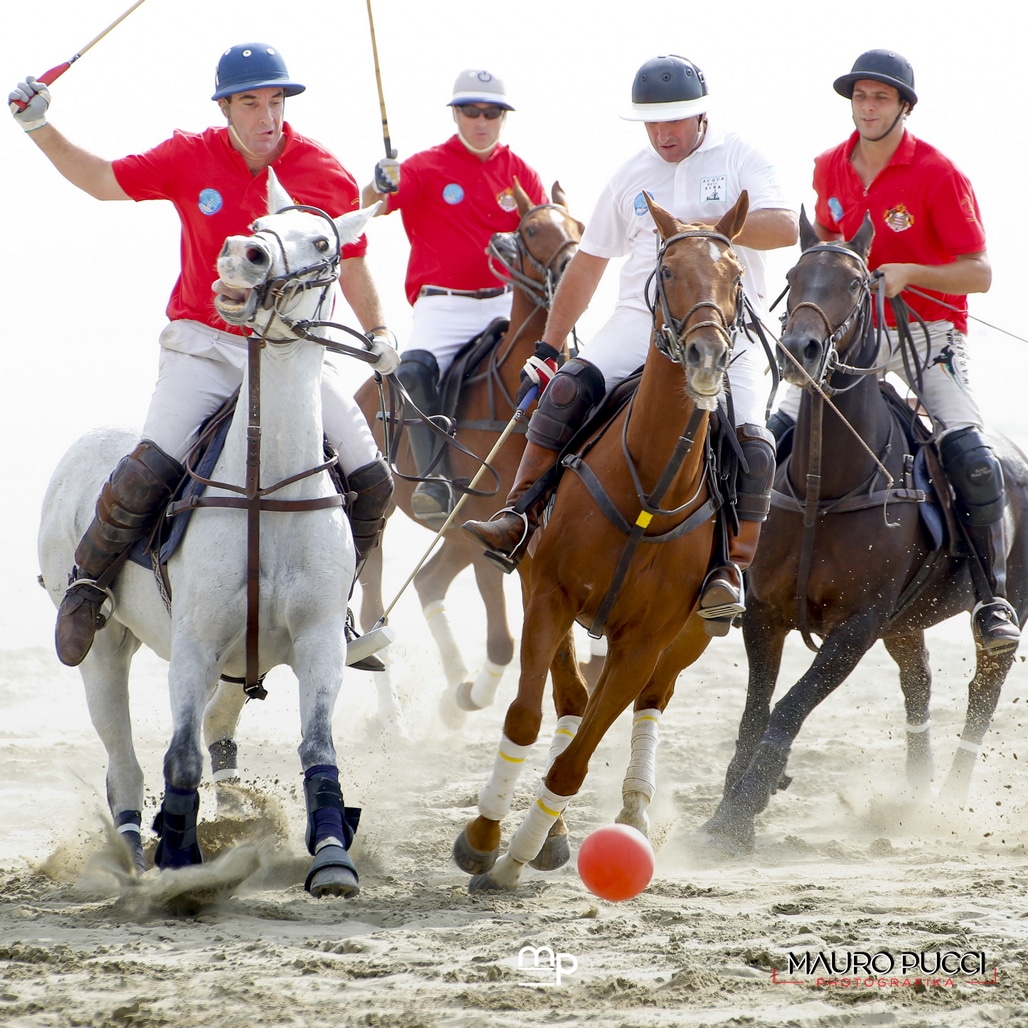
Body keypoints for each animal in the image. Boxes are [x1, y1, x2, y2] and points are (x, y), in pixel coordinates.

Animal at [38, 172, 390, 896]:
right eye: (259, 223)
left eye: (322, 243)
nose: (242, 255)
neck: (266, 485)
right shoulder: (194, 643)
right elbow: (178, 758)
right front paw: (178, 862)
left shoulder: (317, 642)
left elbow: (317, 746)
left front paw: (332, 854)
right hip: (105, 649)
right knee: (126, 759)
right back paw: (132, 859)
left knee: (212, 728)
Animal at [353, 180, 583, 723]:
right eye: (531, 230)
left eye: (578, 226)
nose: (571, 270)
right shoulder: (486, 531)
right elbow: (502, 642)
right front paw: (467, 697)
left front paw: (459, 697)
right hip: (391, 516)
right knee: (375, 608)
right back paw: (394, 717)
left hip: (454, 530)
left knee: (428, 582)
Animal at [454, 191, 752, 892]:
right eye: (667, 272)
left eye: (737, 278)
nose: (706, 357)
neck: (649, 486)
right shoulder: (550, 595)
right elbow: (528, 717)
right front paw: (485, 839)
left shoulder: (644, 640)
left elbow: (576, 759)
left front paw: (513, 859)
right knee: (568, 700)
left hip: (691, 636)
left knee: (649, 702)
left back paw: (633, 812)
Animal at [703, 208, 1028, 851]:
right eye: (793, 276)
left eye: (856, 284)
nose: (800, 349)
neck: (826, 487)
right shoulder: (766, 615)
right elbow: (755, 713)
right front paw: (728, 809)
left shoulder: (856, 626)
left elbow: (789, 708)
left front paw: (746, 804)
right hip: (906, 620)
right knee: (918, 682)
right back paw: (912, 796)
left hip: (1010, 605)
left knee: (984, 689)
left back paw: (947, 805)